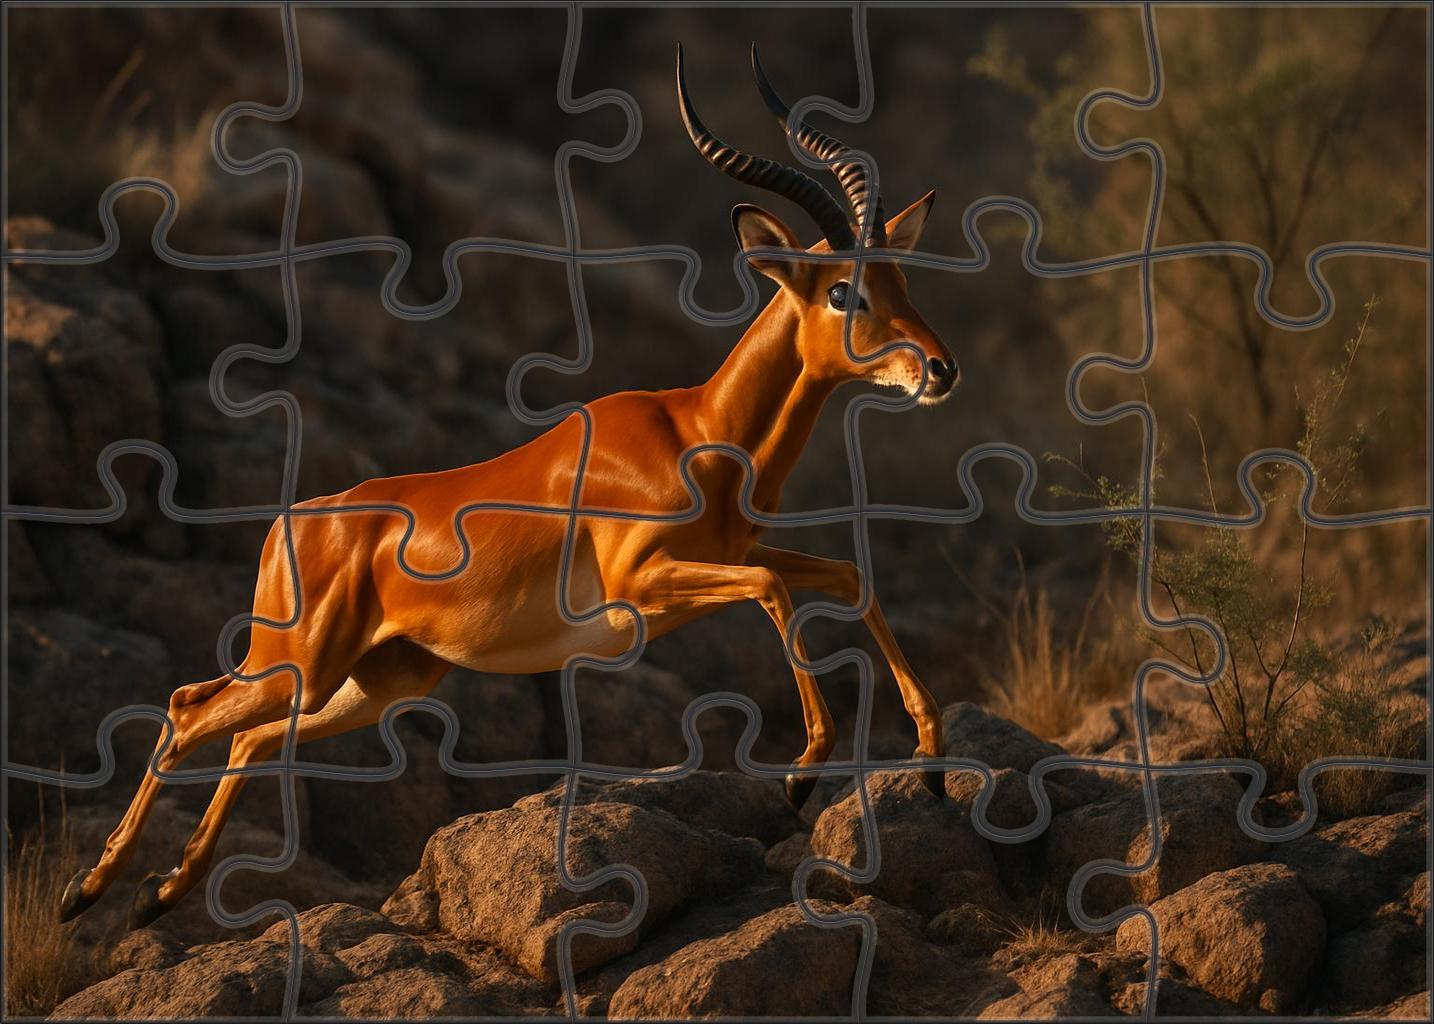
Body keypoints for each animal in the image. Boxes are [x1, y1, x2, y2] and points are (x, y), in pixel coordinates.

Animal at [60, 46, 959, 931]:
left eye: (903, 280)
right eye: (843, 289)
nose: (940, 368)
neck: (700, 430)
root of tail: (299, 521)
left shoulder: (724, 558)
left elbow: (845, 573)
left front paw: (930, 754)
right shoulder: (646, 582)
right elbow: (775, 586)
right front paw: (804, 771)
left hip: (372, 680)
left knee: (247, 739)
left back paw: (159, 893)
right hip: (303, 662)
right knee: (185, 708)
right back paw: (89, 892)